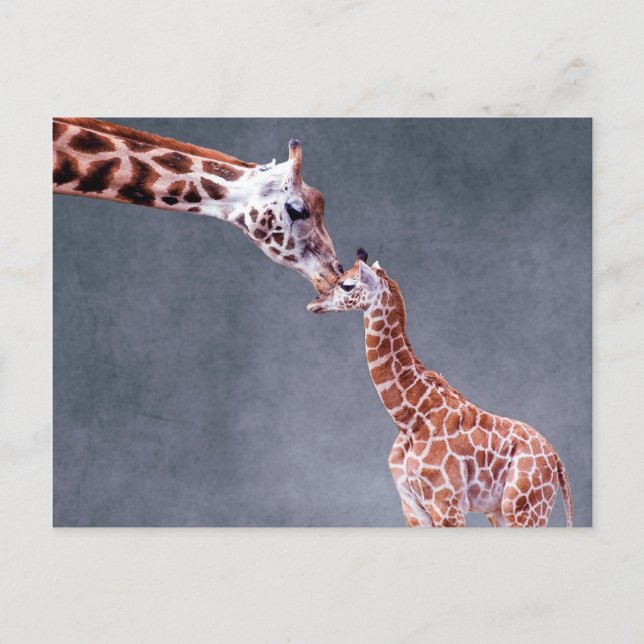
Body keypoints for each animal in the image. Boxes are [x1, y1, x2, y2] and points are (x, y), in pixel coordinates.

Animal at [308, 250, 573, 528]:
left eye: (347, 285)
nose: (314, 303)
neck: (409, 419)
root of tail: (556, 459)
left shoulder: (446, 504)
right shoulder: (412, 507)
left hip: (523, 508)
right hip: (500, 511)